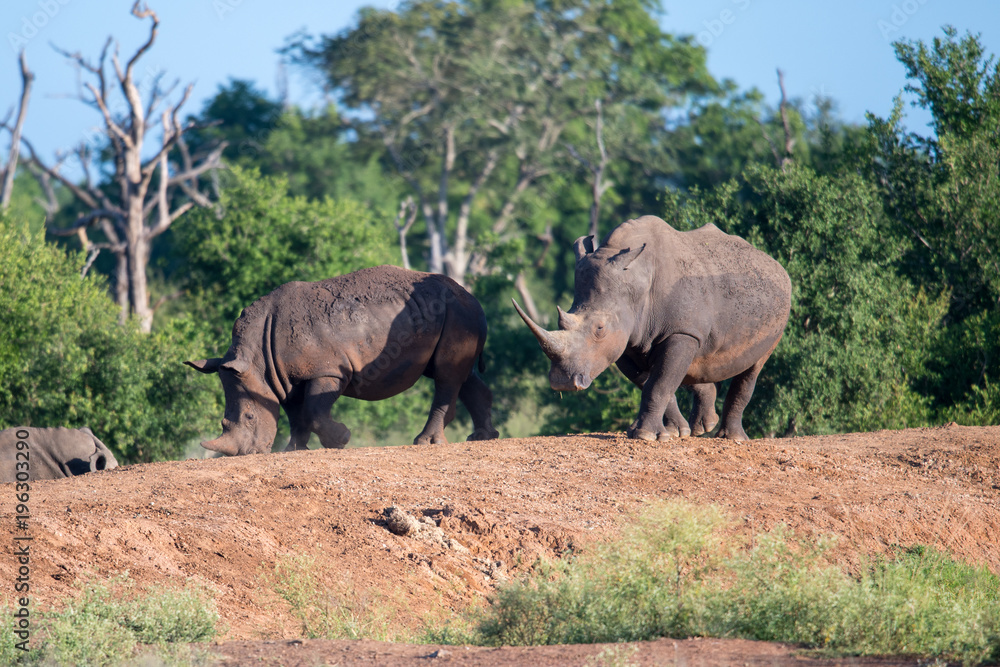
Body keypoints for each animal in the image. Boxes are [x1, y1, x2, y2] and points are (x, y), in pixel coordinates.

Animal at [186, 265, 499, 455]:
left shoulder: (327, 371)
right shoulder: (284, 378)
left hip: (458, 312)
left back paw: (426, 442)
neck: (256, 360)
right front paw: (294, 450)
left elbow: (313, 412)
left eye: (250, 417)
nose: (247, 453)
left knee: (446, 375)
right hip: (449, 314)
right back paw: (483, 437)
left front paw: (341, 439)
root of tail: (472, 295)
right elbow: (296, 415)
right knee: (458, 374)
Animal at [515, 215, 791, 442]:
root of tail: (776, 264)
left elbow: (659, 382)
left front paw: (645, 435)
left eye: (600, 329)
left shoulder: (681, 332)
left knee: (754, 366)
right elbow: (654, 381)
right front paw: (672, 432)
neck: (636, 280)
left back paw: (731, 438)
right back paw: (702, 427)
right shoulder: (626, 340)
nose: (562, 382)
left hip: (779, 310)